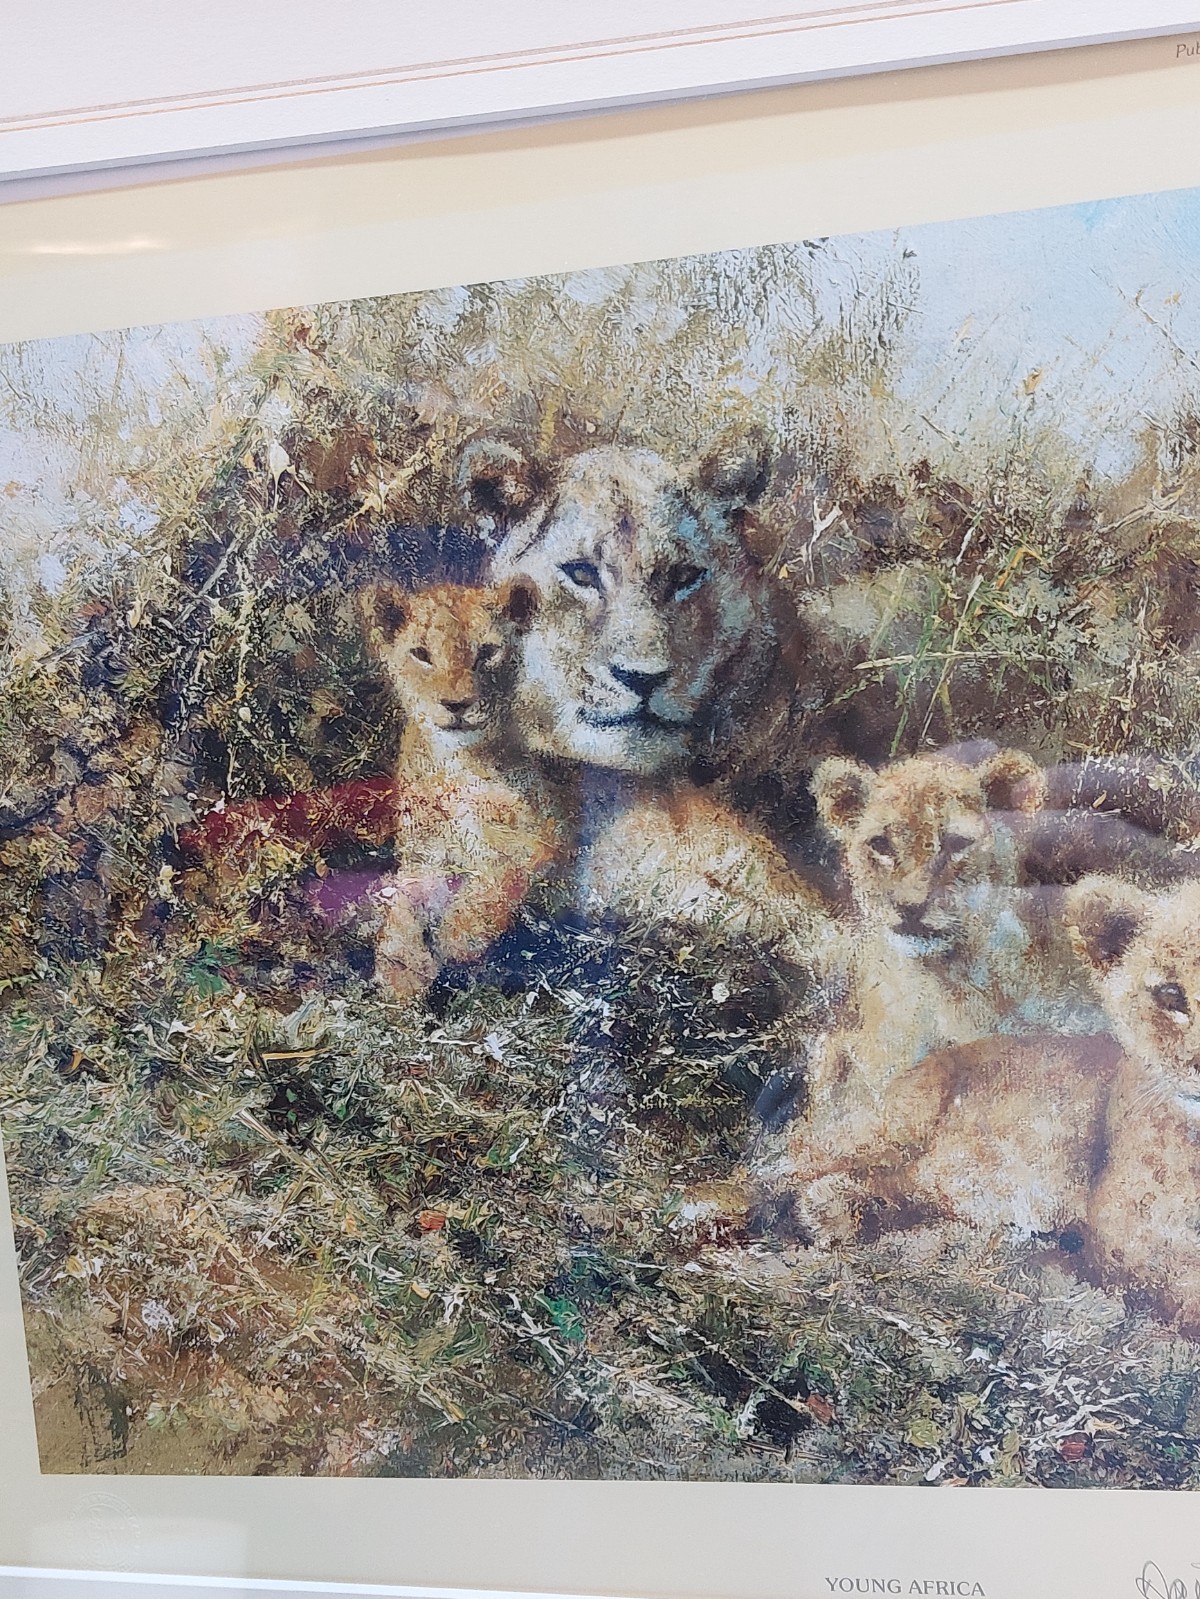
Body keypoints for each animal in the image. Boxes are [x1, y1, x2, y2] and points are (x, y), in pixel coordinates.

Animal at [359, 578, 562, 997]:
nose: (457, 705)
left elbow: (501, 878)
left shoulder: (549, 839)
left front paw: (457, 935)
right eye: (421, 654)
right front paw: (400, 969)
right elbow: (403, 903)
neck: (457, 765)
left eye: (487, 652)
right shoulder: (422, 857)